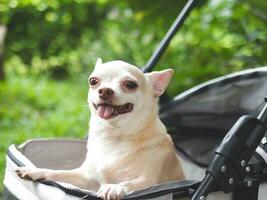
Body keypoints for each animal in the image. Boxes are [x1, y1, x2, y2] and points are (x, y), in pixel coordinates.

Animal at [15, 59, 185, 200]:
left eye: (130, 84)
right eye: (93, 81)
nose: (105, 90)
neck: (114, 136)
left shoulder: (148, 181)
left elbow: (129, 183)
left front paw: (114, 188)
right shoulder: (86, 178)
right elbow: (59, 173)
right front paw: (36, 171)